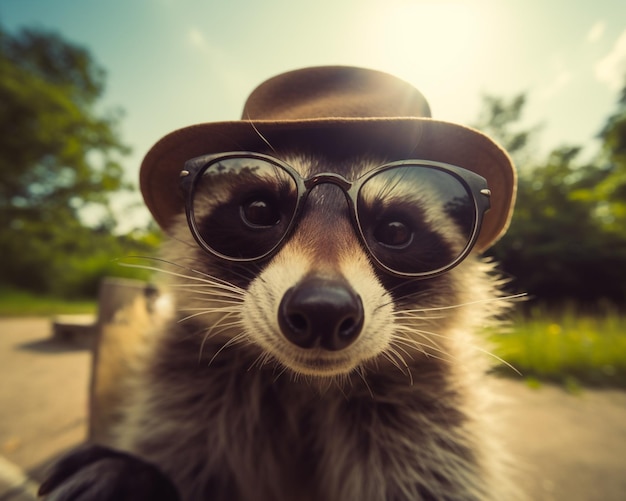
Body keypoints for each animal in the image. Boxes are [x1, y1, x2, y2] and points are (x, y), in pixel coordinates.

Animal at [39, 67, 516, 500]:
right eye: (260, 210)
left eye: (396, 230)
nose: (323, 311)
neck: (306, 384)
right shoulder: (187, 383)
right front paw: (135, 474)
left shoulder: (430, 412)